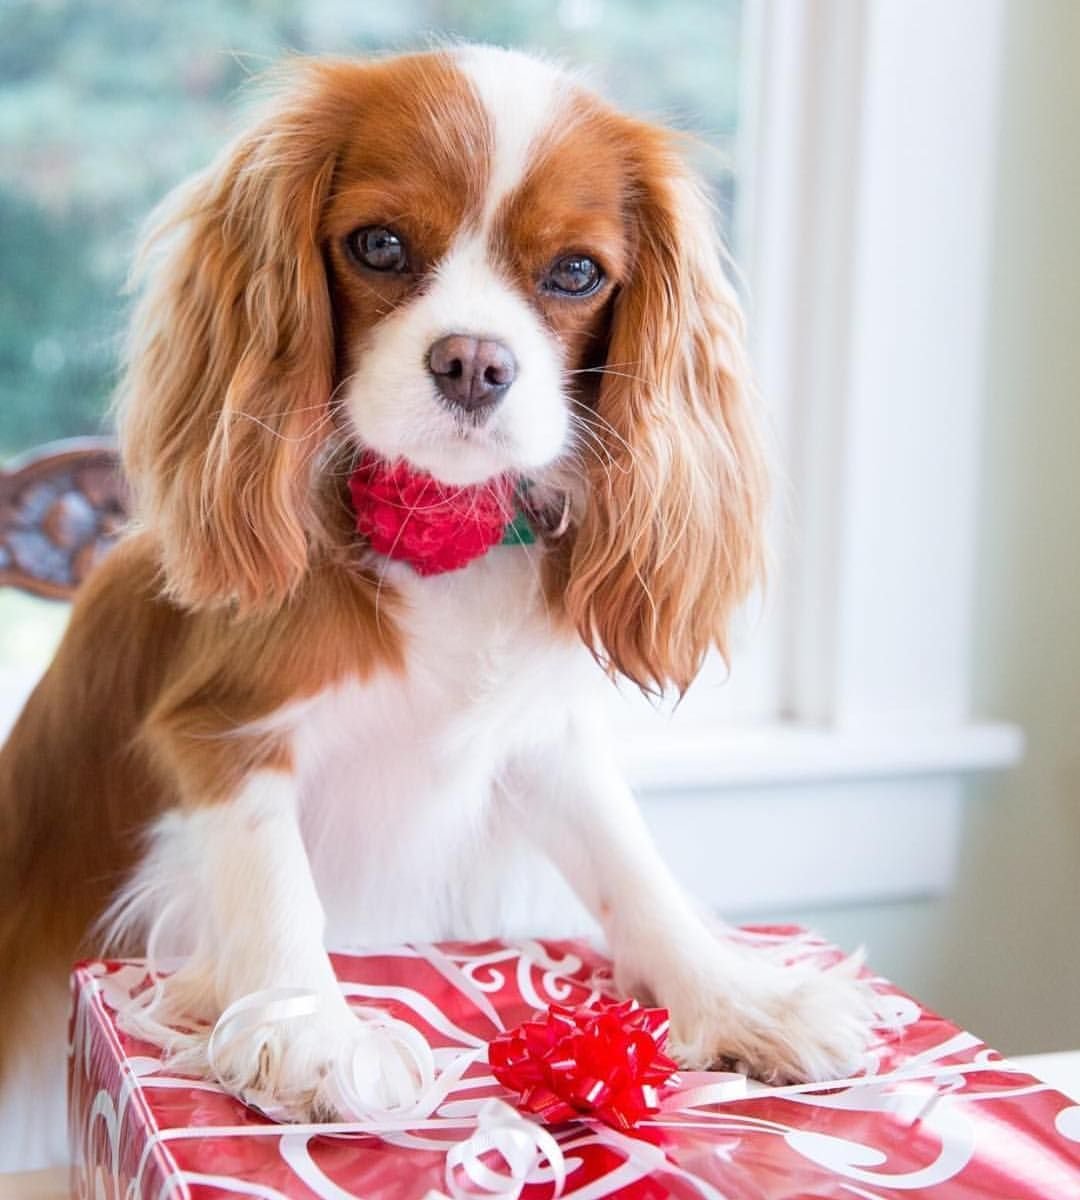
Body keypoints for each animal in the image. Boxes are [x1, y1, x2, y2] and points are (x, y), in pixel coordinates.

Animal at [0, 46, 878, 1152]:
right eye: (378, 245)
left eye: (577, 272)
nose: (473, 363)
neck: (443, 534)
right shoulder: (218, 725)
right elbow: (271, 871)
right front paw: (314, 1027)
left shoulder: (541, 745)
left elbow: (629, 862)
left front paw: (739, 992)